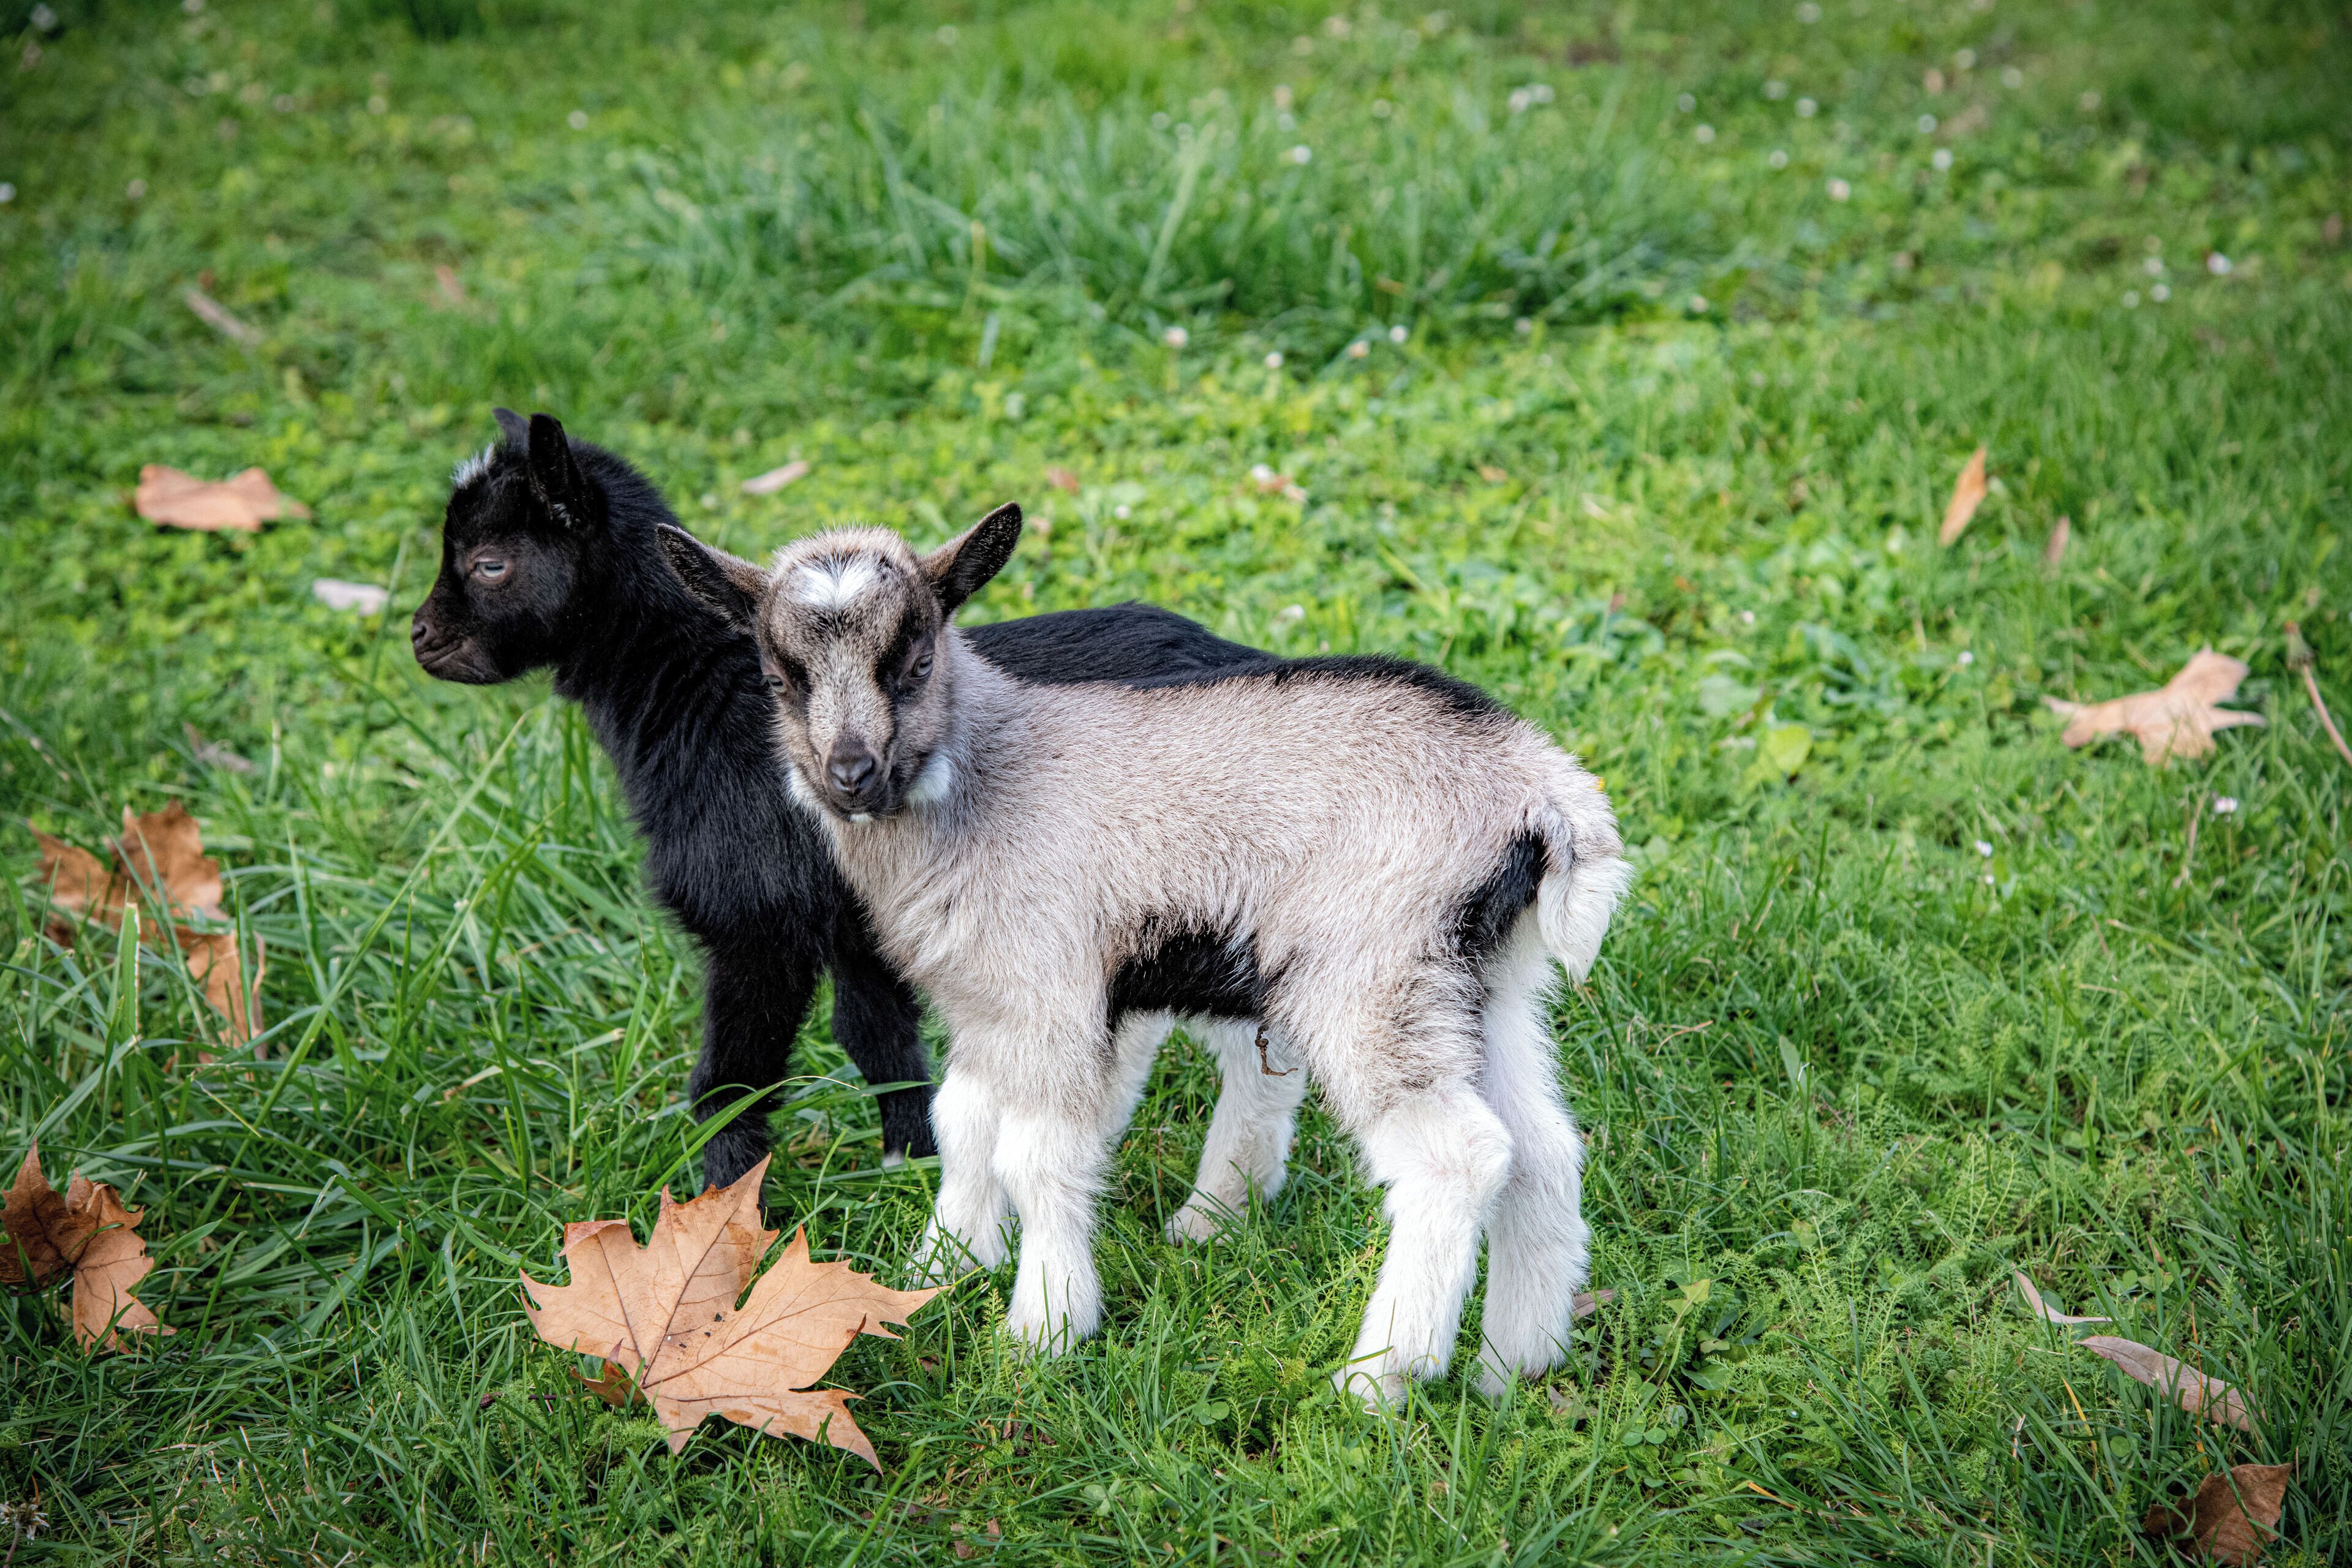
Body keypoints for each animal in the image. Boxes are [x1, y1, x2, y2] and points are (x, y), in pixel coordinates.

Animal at [411, 413, 1270, 1192]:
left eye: (489, 562)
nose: (422, 639)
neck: (700, 699)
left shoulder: (757, 924)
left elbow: (733, 1078)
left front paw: (726, 1207)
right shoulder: (859, 924)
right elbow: (877, 1040)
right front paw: (910, 1160)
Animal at [665, 504, 1632, 1404]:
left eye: (915, 662)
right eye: (779, 678)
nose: (851, 775)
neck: (990, 780)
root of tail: (1539, 790)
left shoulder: (1053, 989)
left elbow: (1035, 1155)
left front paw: (1043, 1331)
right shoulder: (990, 1000)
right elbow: (963, 1120)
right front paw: (940, 1268)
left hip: (1372, 972)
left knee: (1456, 1158)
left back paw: (1380, 1379)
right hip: (1482, 981)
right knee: (1542, 1148)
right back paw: (1516, 1365)